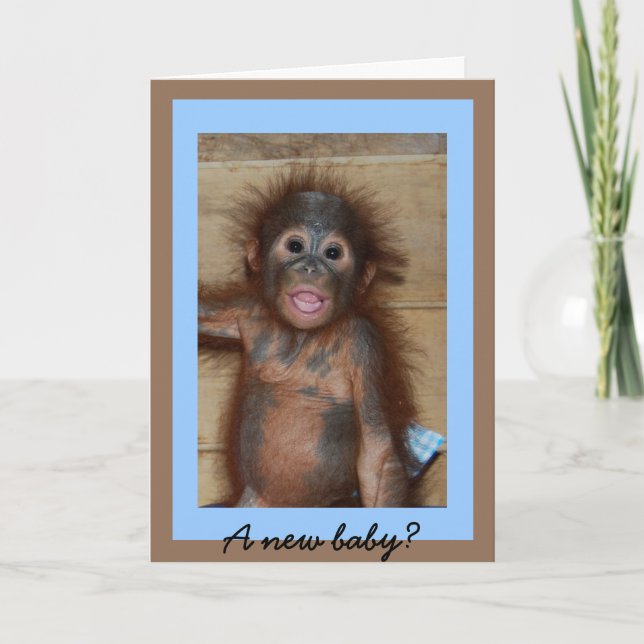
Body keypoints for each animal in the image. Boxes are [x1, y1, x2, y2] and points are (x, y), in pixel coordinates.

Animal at [198, 165, 418, 508]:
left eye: (332, 253)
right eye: (295, 246)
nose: (312, 267)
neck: (301, 335)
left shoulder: (366, 343)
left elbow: (377, 452)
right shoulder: (246, 310)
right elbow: (203, 312)